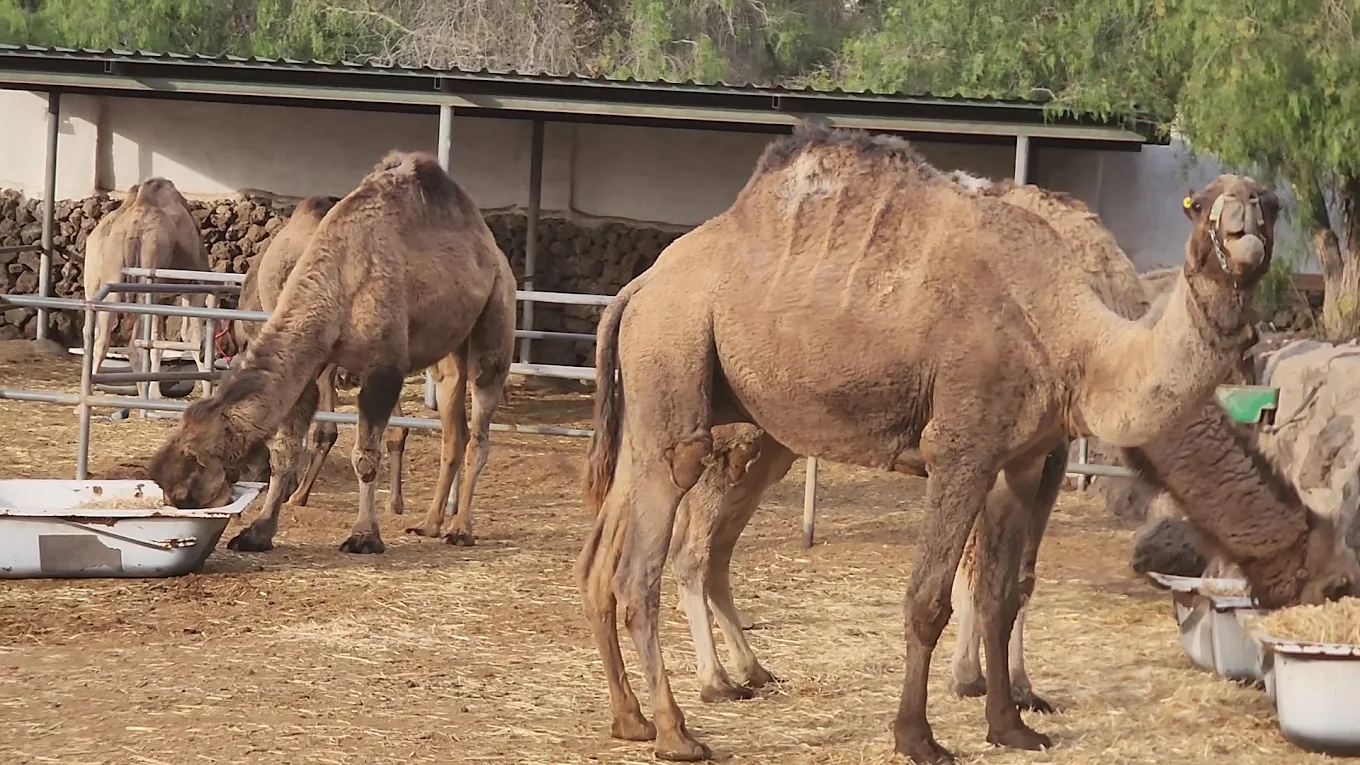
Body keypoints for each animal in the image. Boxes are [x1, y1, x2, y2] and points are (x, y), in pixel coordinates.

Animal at [83, 178, 213, 396]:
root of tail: (133, 230)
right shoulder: (195, 287)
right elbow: (191, 338)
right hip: (147, 278)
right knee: (136, 342)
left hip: (108, 281)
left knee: (100, 337)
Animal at [146, 151, 516, 555]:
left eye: (185, 493)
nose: (177, 510)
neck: (339, 284)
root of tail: (494, 250)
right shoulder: (312, 364)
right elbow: (285, 451)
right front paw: (258, 532)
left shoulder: (384, 370)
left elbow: (365, 457)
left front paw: (364, 536)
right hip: (448, 349)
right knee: (454, 429)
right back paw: (430, 525)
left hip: (497, 317)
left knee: (480, 421)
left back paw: (460, 529)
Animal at [574, 124, 1357, 764]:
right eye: (1201, 206)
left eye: (1269, 205)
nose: (1243, 233)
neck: (1081, 332)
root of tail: (638, 287)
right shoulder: (964, 445)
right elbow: (932, 596)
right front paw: (919, 737)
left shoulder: (1024, 458)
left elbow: (1003, 592)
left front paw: (1013, 723)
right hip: (680, 376)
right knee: (651, 562)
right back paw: (681, 728)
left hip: (696, 414)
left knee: (622, 554)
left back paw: (636, 717)